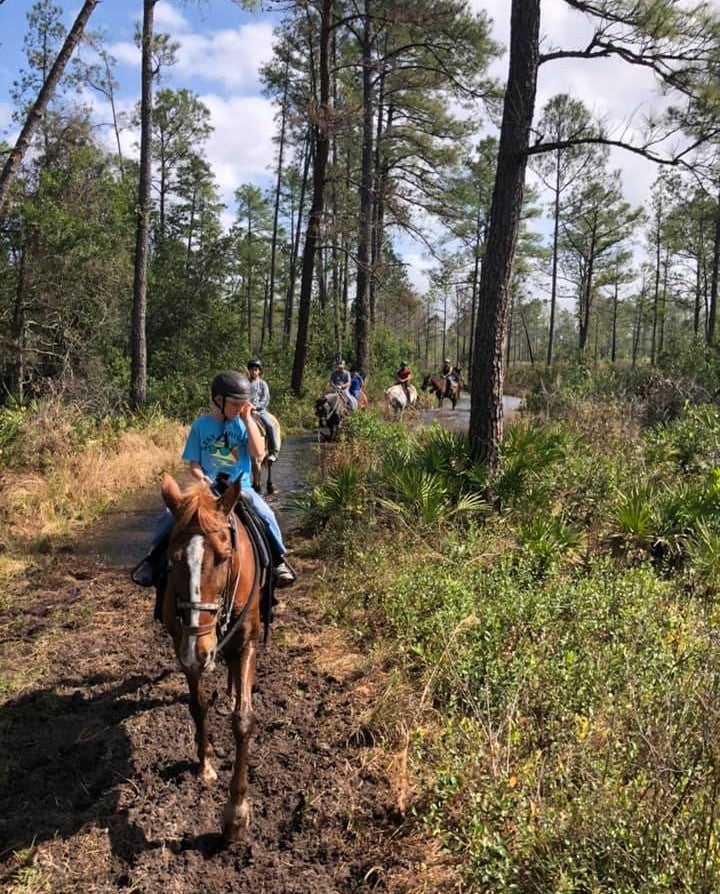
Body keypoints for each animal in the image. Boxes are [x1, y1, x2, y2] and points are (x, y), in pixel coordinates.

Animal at [159, 472, 260, 844]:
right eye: (172, 558)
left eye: (223, 556)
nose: (200, 650)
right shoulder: (183, 644)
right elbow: (198, 705)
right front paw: (205, 763)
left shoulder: (247, 644)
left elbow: (243, 719)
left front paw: (236, 814)